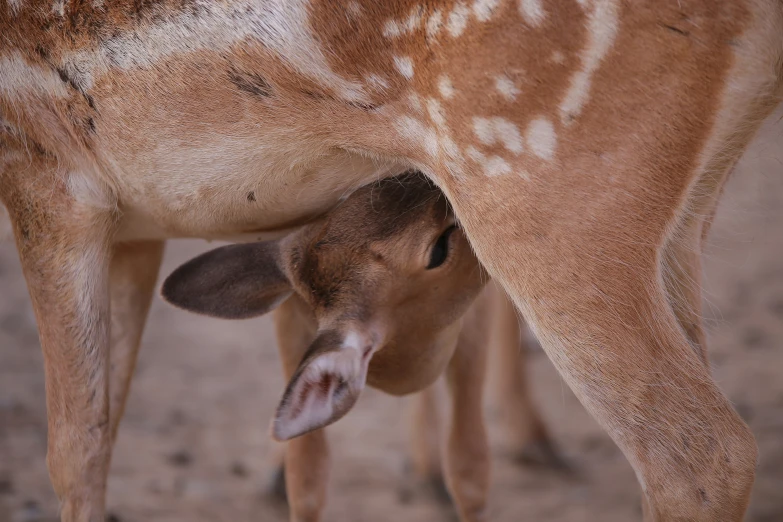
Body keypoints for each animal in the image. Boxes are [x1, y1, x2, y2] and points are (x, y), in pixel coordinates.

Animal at [0, 0, 780, 516]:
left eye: (434, 244)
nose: (414, 184)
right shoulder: (134, 227)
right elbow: (109, 425)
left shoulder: (44, 179)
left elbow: (74, 450)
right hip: (679, 218)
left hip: (545, 198)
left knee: (701, 452)